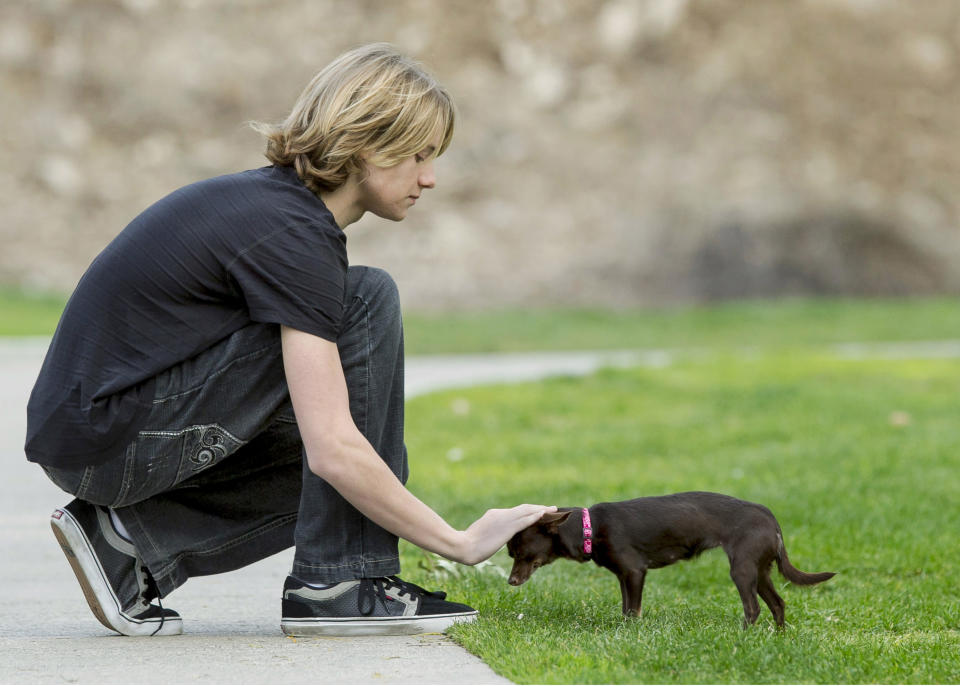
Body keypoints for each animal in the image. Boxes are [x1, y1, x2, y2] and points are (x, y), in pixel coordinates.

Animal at [510, 494, 832, 628]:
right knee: (778, 603)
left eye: (521, 554)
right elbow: (626, 608)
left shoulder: (634, 572)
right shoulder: (624, 576)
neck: (590, 527)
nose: (510, 581)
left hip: (742, 570)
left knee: (752, 608)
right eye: (511, 555)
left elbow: (633, 611)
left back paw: (743, 636)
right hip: (760, 571)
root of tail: (770, 517)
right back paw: (778, 637)